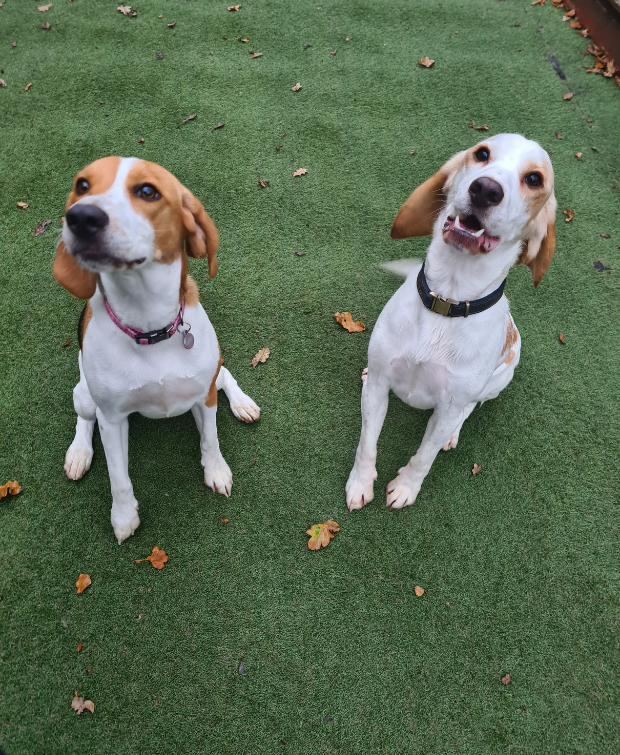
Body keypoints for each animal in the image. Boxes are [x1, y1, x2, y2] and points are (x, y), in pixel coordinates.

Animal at [52, 157, 258, 544]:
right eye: (82, 185)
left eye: (148, 191)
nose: (80, 217)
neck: (150, 328)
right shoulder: (112, 418)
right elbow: (118, 477)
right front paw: (123, 517)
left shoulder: (204, 395)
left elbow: (211, 440)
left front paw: (216, 471)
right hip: (84, 395)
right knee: (84, 419)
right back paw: (79, 454)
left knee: (224, 375)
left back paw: (242, 403)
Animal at [344, 134, 556, 512]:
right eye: (482, 153)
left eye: (535, 179)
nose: (485, 189)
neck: (447, 301)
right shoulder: (379, 388)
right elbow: (367, 443)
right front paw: (360, 483)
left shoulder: (448, 409)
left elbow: (424, 457)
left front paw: (405, 488)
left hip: (500, 378)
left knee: (470, 408)